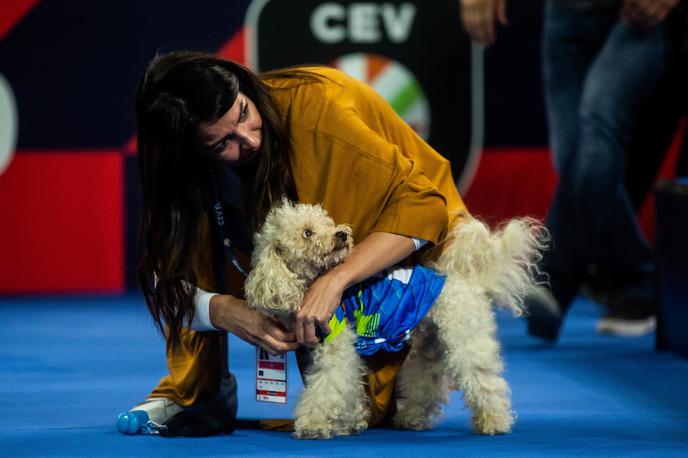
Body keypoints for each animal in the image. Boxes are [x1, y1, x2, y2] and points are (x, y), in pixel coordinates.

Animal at [245, 199, 544, 438]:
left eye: (326, 223)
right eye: (307, 233)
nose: (341, 235)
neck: (309, 283)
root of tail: (468, 279)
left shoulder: (336, 348)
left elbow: (326, 387)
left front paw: (314, 425)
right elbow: (349, 389)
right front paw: (350, 422)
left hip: (464, 337)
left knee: (483, 380)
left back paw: (494, 422)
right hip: (431, 344)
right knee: (426, 380)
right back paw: (412, 418)